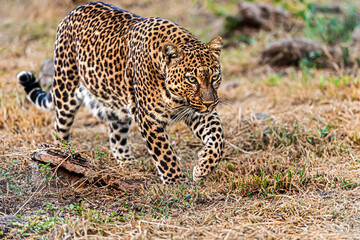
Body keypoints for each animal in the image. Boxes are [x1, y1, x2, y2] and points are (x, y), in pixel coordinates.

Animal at [18, 1, 225, 184]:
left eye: (215, 76)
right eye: (192, 79)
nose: (209, 103)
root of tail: (72, 11)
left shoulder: (198, 111)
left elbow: (218, 139)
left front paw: (202, 168)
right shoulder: (149, 119)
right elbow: (165, 154)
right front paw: (177, 183)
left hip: (116, 106)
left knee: (116, 139)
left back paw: (130, 165)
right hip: (66, 89)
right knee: (59, 129)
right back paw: (61, 156)